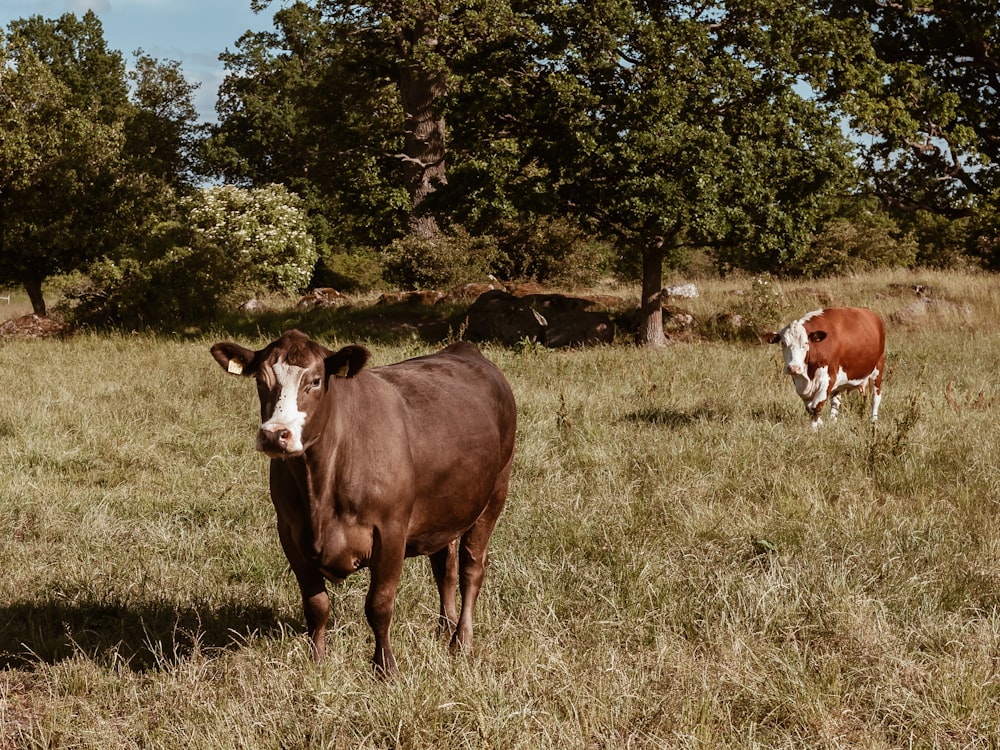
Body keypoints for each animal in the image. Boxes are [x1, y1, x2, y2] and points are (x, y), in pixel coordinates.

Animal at [214, 332, 520, 680]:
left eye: (315, 380)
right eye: (260, 380)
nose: (275, 435)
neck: (319, 487)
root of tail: (466, 350)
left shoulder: (391, 531)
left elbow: (379, 605)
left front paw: (385, 668)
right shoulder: (289, 532)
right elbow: (316, 604)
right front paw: (317, 661)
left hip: (495, 492)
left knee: (472, 568)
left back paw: (462, 640)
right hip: (445, 508)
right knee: (445, 568)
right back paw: (445, 628)